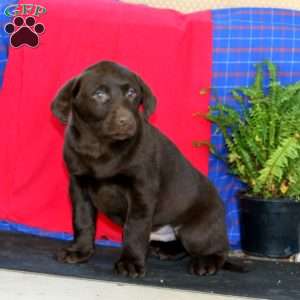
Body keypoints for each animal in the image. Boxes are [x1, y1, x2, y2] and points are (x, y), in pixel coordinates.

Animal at [51, 61, 234, 278]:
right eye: (99, 94)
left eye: (131, 93)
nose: (126, 121)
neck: (101, 146)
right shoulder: (79, 186)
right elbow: (82, 220)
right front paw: (80, 251)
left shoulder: (141, 191)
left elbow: (134, 229)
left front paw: (131, 262)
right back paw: (166, 250)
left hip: (195, 232)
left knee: (218, 250)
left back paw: (206, 262)